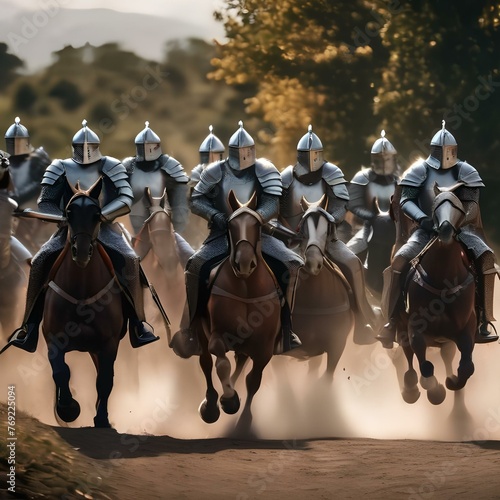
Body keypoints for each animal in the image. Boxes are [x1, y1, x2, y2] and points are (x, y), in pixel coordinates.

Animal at [42, 178, 127, 428]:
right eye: (69, 213)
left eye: (96, 214)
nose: (81, 252)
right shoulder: (53, 339)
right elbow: (61, 371)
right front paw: (68, 408)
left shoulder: (109, 343)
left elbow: (105, 380)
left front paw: (102, 419)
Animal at [196, 189, 282, 428]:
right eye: (230, 226)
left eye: (257, 225)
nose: (244, 263)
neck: (246, 287)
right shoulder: (217, 335)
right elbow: (220, 362)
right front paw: (228, 400)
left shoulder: (264, 348)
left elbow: (253, 381)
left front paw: (243, 421)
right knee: (206, 362)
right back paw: (211, 405)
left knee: (239, 363)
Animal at [398, 186, 476, 404]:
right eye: (436, 206)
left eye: (457, 206)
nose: (445, 230)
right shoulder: (415, 329)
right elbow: (425, 367)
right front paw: (436, 392)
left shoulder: (466, 327)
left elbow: (467, 367)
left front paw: (452, 382)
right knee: (409, 357)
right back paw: (410, 388)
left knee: (447, 356)